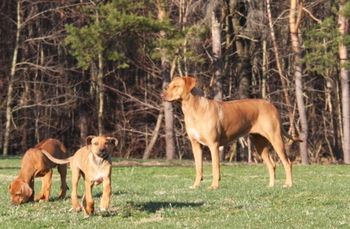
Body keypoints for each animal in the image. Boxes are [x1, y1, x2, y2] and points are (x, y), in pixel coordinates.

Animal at [161, 76, 298, 189]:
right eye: (168, 86)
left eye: (176, 86)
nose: (162, 95)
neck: (193, 109)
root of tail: (272, 105)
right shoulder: (195, 145)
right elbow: (198, 167)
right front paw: (195, 185)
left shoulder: (213, 145)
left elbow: (215, 167)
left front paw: (214, 186)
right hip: (259, 143)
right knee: (272, 165)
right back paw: (271, 185)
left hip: (275, 138)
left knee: (288, 162)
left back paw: (288, 184)